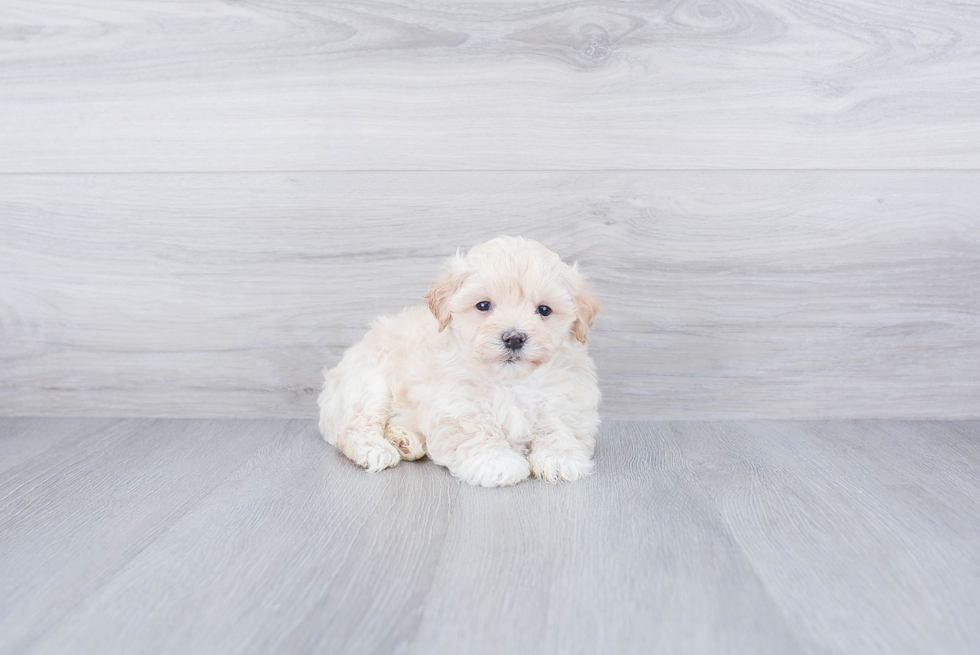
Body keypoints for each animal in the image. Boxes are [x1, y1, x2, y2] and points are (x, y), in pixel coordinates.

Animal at [318, 236, 600, 486]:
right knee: (354, 427)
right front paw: (497, 461)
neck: (510, 382)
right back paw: (376, 448)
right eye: (483, 305)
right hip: (368, 386)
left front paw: (559, 458)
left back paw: (404, 439)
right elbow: (476, 431)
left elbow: (560, 429)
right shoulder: (455, 405)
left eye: (544, 310)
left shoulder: (566, 400)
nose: (514, 338)